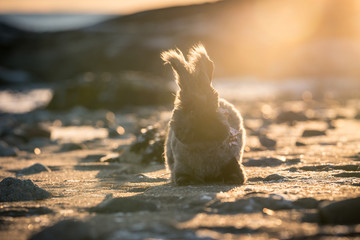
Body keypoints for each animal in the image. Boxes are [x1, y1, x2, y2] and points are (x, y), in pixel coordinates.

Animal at [162, 43, 246, 186]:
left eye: (215, 107)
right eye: (191, 110)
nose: (208, 127)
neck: (203, 146)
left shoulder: (231, 161)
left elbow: (234, 172)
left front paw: (233, 180)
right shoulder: (180, 167)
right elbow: (182, 177)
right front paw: (188, 181)